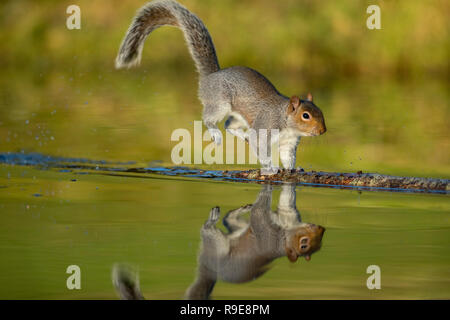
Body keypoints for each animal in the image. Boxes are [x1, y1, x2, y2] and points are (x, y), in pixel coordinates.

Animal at [116, 0, 326, 170]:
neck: (286, 120)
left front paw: (293, 169)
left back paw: (242, 135)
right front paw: (271, 167)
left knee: (229, 124)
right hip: (220, 103)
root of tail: (211, 76)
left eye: (320, 112)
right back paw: (217, 134)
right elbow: (260, 147)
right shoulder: (265, 128)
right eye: (305, 115)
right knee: (210, 119)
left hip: (239, 115)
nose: (322, 131)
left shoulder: (288, 143)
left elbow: (288, 157)